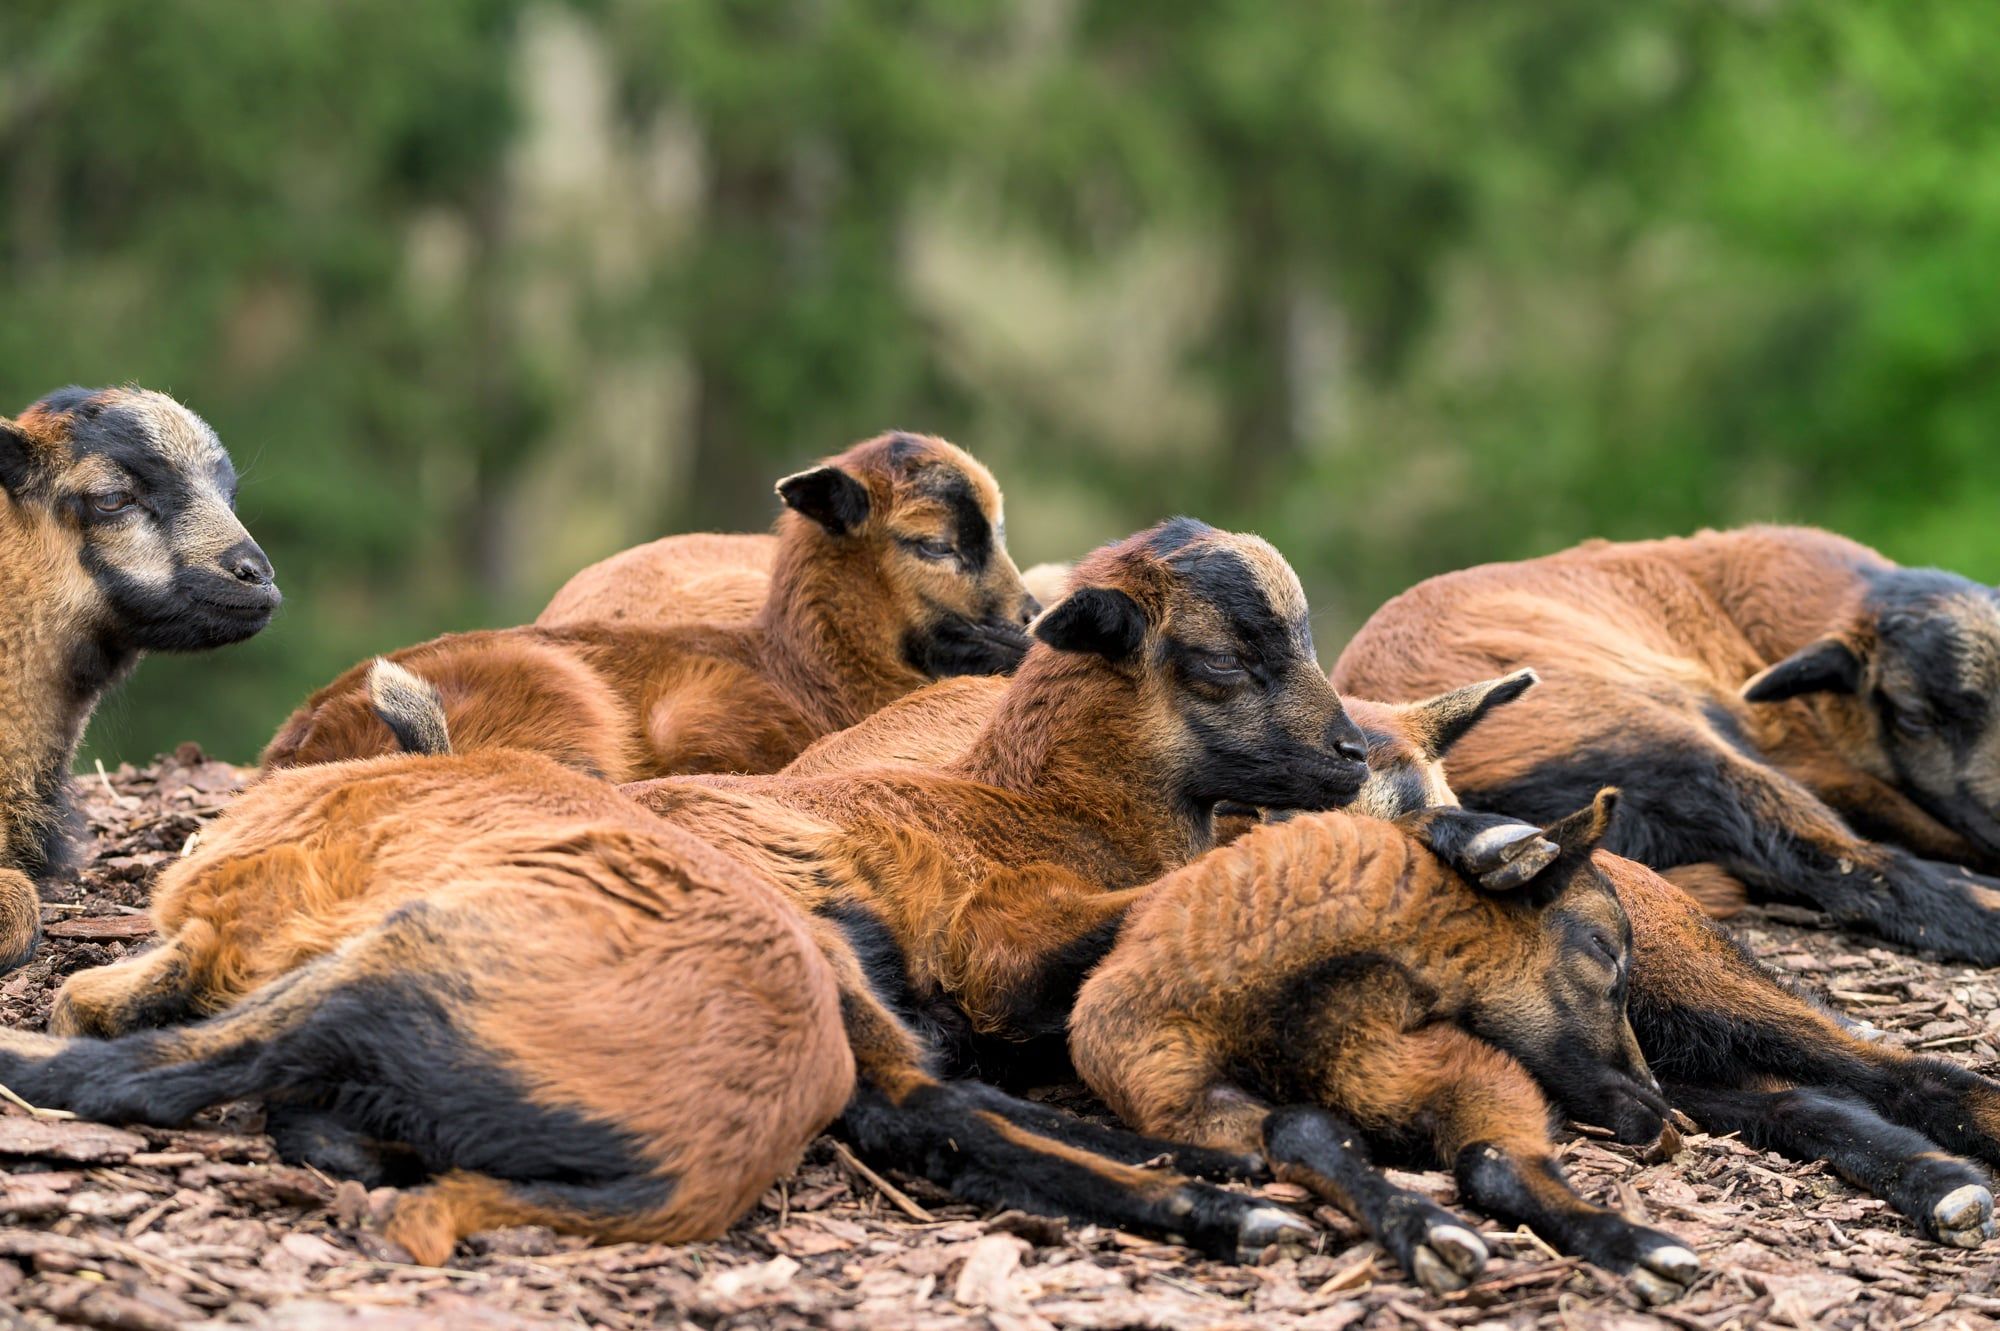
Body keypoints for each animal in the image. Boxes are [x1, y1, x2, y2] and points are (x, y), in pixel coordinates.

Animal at [1070, 793, 1704, 1303]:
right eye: (1603, 946)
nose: (1657, 1105)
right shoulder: (1182, 1103)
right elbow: (1295, 1128)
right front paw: (1426, 1231)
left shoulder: (1457, 1064)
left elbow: (1490, 1161)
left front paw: (1636, 1247)